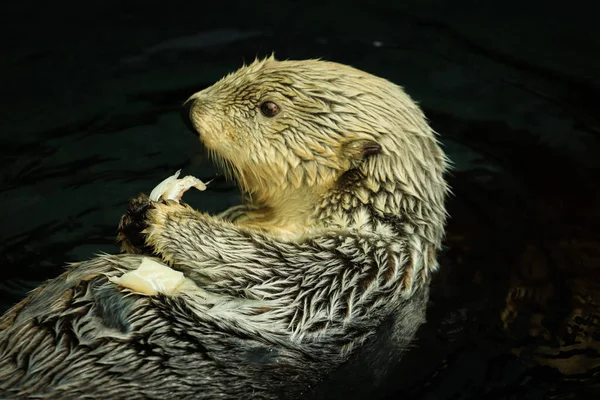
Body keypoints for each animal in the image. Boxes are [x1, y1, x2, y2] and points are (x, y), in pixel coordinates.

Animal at [0, 57, 446, 400]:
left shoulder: (362, 265)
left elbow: (274, 269)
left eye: (269, 108)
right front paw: (135, 214)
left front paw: (167, 218)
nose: (189, 106)